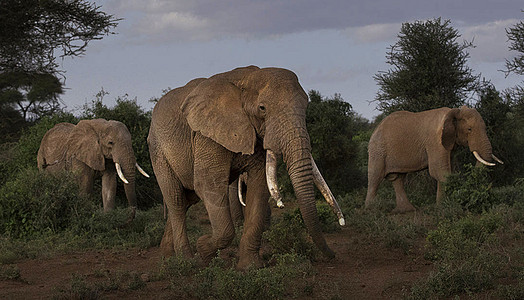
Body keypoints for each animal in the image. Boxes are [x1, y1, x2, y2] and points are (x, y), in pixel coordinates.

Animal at [147, 65, 344, 270]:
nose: (332, 256)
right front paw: (203, 250)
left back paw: (168, 257)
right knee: (176, 200)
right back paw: (186, 261)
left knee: (187, 200)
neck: (247, 78)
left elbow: (259, 186)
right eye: (262, 108)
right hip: (157, 151)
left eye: (306, 106)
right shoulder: (206, 136)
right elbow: (208, 185)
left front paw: (251, 267)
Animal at [364, 106, 504, 213]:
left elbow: (446, 170)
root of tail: (375, 129)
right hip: (378, 150)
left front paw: (442, 206)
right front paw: (446, 207)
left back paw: (406, 210)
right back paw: (370, 210)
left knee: (398, 179)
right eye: (469, 129)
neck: (453, 111)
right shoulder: (435, 142)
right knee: (375, 177)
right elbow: (439, 171)